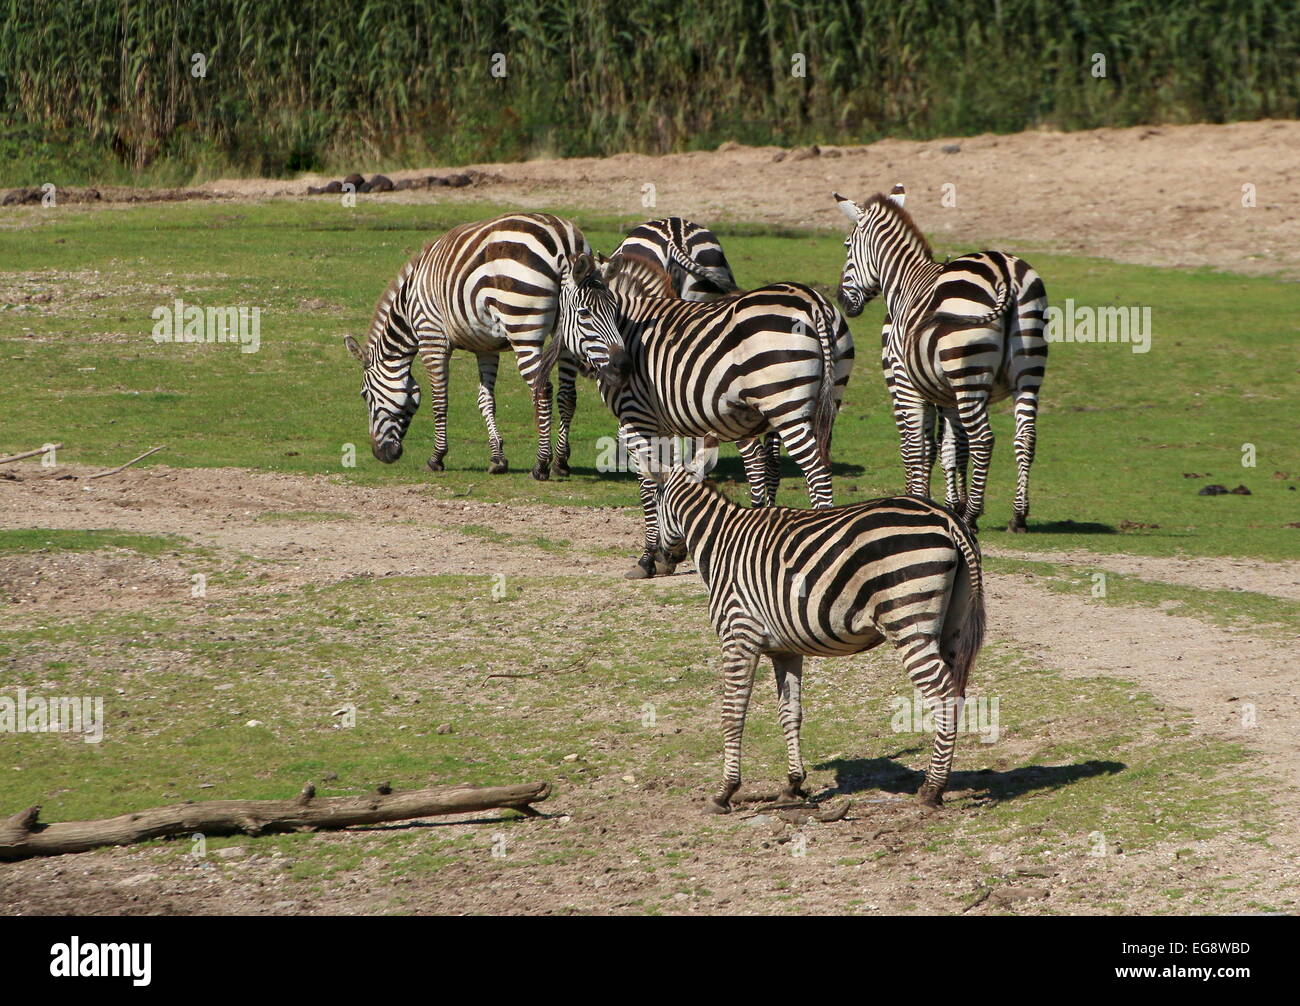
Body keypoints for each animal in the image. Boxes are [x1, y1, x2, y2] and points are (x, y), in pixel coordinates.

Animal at [344, 212, 608, 480]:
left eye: (365, 395)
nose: (382, 455)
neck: (408, 307)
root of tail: (563, 239)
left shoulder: (432, 339)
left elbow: (439, 400)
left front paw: (436, 458)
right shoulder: (486, 346)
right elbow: (485, 399)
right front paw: (497, 459)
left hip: (523, 325)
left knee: (542, 389)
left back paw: (541, 464)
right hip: (571, 330)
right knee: (567, 394)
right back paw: (561, 462)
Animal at [552, 253, 855, 579]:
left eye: (613, 312)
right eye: (585, 313)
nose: (623, 366)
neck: (629, 330)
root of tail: (813, 301)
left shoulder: (636, 417)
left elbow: (648, 484)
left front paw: (647, 559)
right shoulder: (662, 423)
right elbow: (668, 477)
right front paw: (669, 554)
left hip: (786, 407)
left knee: (817, 472)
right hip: (827, 400)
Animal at [644, 445, 985, 813]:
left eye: (654, 499)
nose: (662, 559)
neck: (719, 540)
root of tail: (947, 518)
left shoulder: (738, 635)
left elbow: (732, 713)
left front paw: (725, 791)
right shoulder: (784, 649)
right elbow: (789, 712)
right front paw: (793, 785)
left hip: (909, 623)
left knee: (943, 694)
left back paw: (931, 790)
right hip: (952, 627)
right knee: (957, 691)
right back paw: (939, 783)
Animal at [833, 187, 1048, 532]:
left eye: (847, 246)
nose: (841, 299)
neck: (906, 281)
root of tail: (1003, 267)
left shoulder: (905, 383)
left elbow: (915, 445)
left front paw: (919, 499)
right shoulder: (944, 393)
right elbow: (949, 447)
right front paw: (948, 503)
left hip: (968, 374)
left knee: (982, 439)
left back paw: (972, 514)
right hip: (1027, 372)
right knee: (1025, 436)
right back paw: (1018, 515)